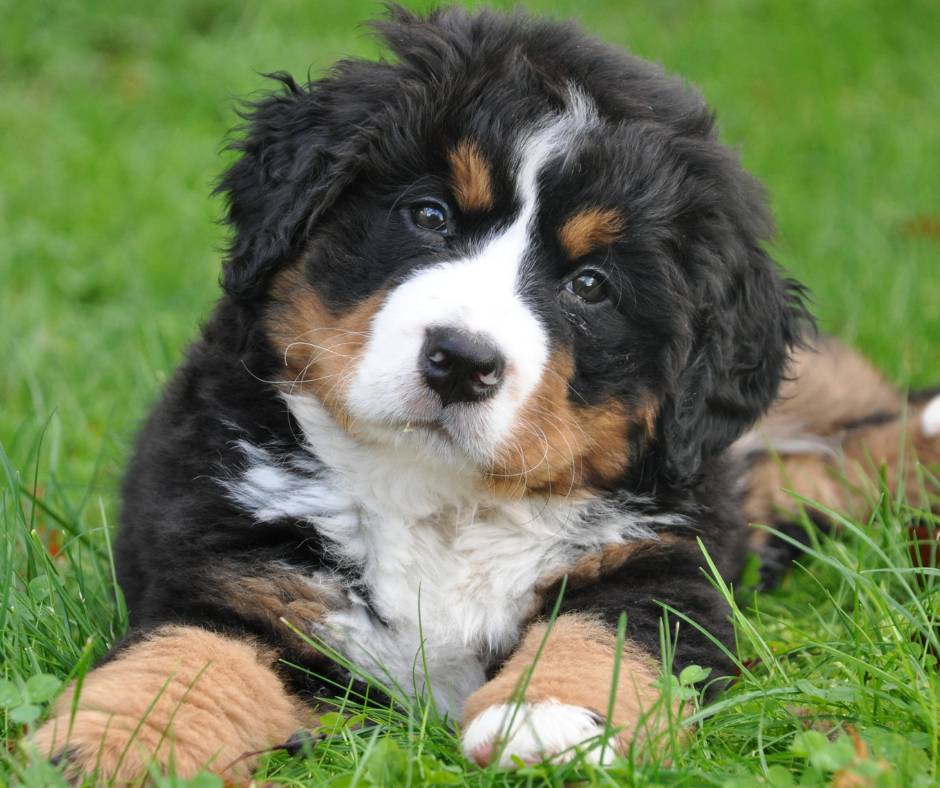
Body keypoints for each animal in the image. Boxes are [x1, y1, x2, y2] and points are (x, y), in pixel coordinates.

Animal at [33, 4, 936, 780]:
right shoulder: (231, 568)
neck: (442, 502)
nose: (462, 361)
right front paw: (104, 744)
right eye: (429, 214)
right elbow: (184, 662)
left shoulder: (669, 562)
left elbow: (603, 634)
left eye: (591, 285)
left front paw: (551, 719)